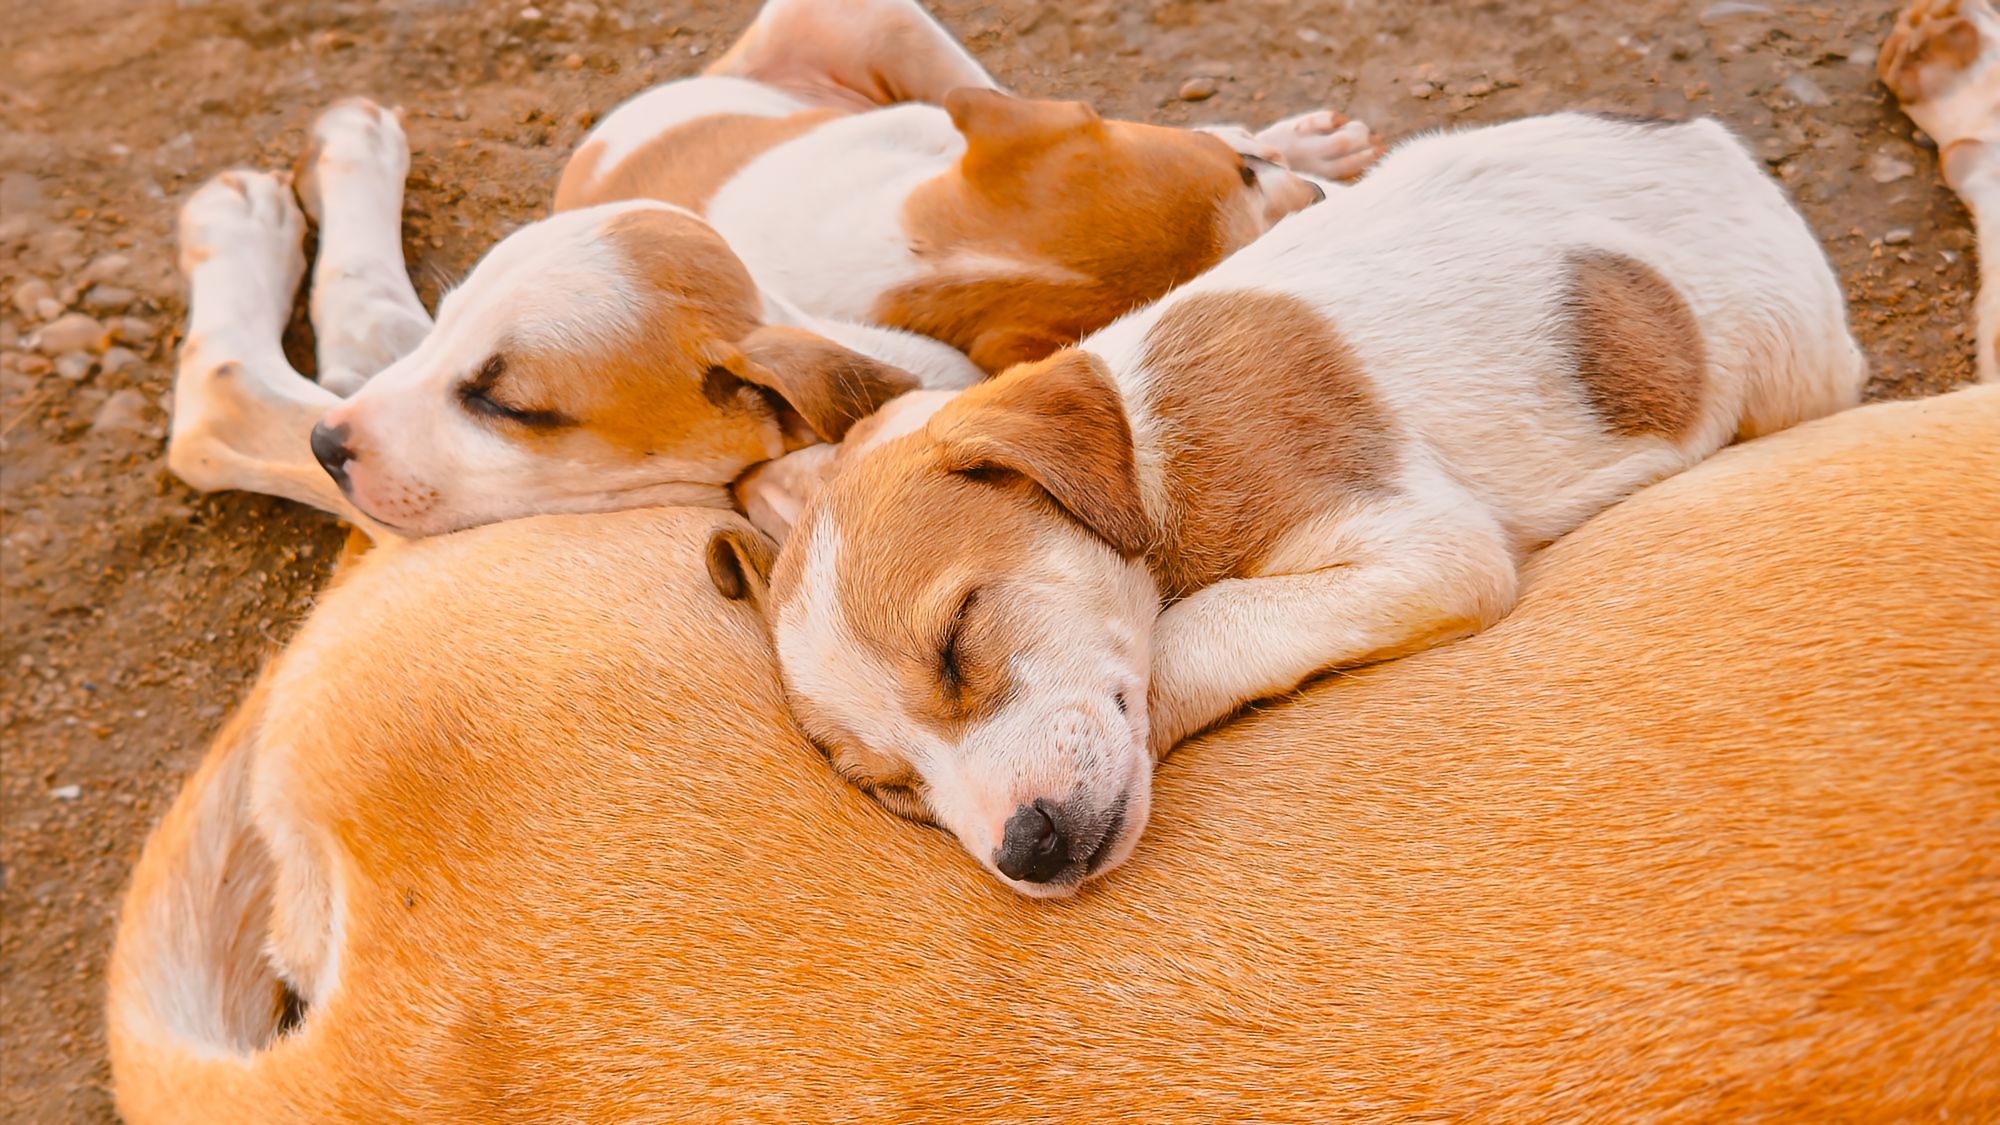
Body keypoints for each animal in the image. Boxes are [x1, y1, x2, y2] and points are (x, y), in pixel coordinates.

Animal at [756, 111, 1864, 892]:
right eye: (895, 789)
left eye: (957, 640)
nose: (1023, 851)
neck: (1150, 454)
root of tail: (1712, 144)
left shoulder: (1422, 543)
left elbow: (1197, 631)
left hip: (1790, 371)